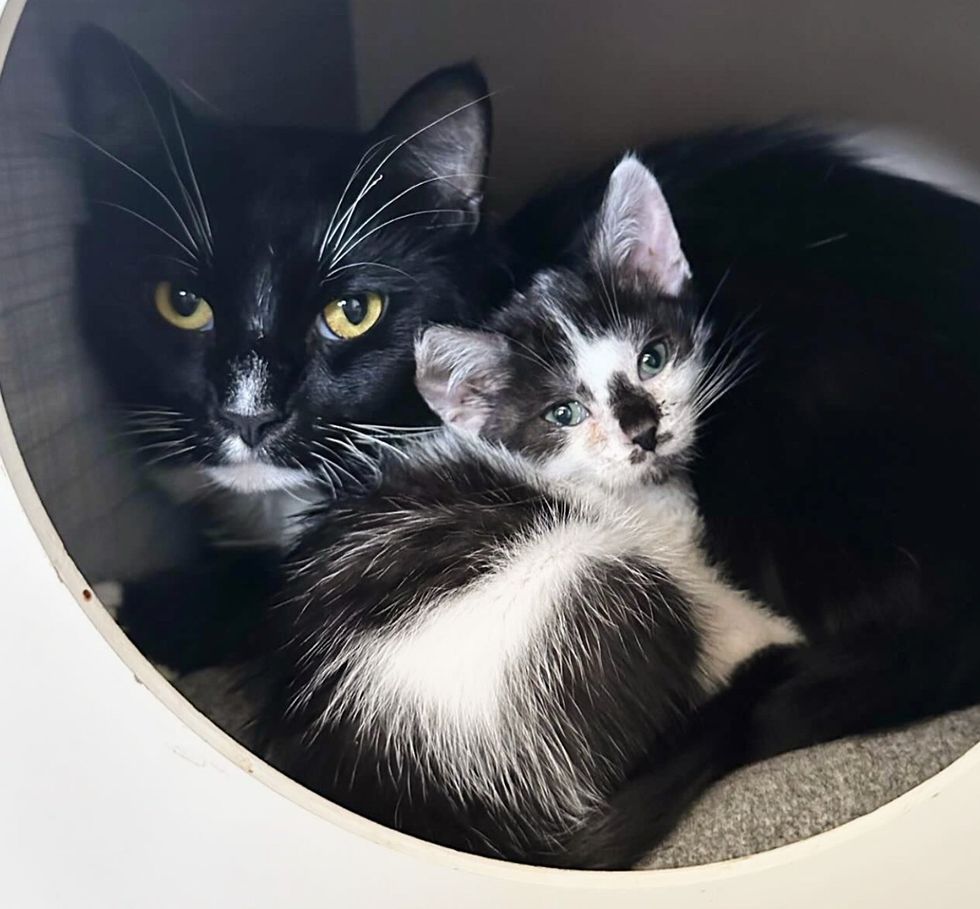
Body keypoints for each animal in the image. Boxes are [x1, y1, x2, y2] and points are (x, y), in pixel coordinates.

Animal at [264, 156, 800, 864]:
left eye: (652, 358)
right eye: (564, 412)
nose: (643, 429)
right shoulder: (662, 556)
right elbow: (720, 608)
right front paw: (774, 633)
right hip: (595, 579)